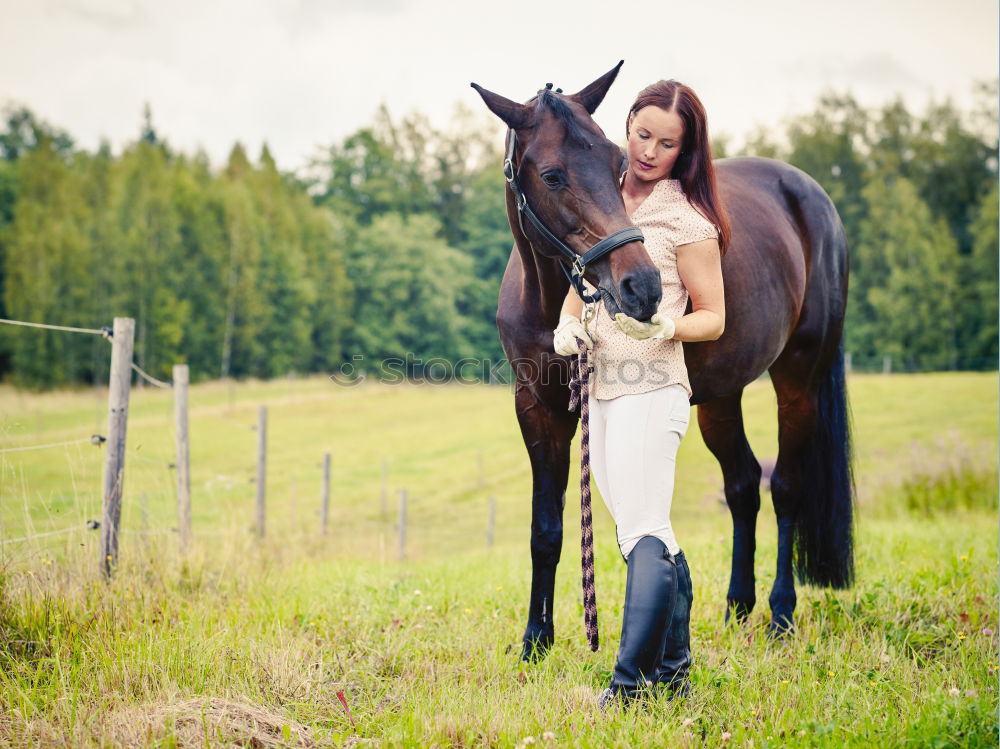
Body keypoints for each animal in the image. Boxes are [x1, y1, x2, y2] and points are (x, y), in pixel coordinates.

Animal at [468, 65, 852, 660]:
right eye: (552, 176)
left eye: (617, 164)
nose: (642, 286)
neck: (547, 297)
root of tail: (810, 196)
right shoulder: (536, 408)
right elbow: (546, 529)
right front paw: (536, 641)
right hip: (721, 395)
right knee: (743, 485)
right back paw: (737, 607)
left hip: (799, 379)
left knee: (786, 487)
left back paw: (781, 614)